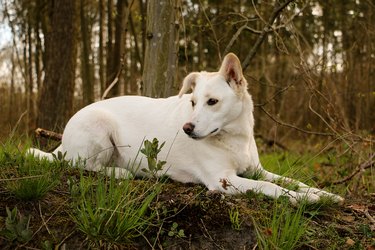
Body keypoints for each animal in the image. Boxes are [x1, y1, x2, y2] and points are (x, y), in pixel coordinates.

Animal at [29, 53, 346, 204]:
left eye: (212, 101)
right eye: (192, 101)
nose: (187, 128)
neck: (234, 138)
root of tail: (61, 142)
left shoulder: (256, 169)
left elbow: (292, 181)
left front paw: (323, 194)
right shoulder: (223, 180)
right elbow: (273, 188)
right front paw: (307, 201)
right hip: (99, 129)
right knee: (83, 165)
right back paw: (122, 172)